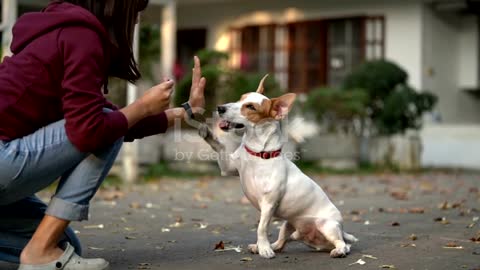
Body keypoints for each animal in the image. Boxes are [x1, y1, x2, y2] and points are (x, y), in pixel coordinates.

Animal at [198, 75, 356, 260]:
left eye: (250, 107)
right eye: (240, 98)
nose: (220, 108)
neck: (258, 153)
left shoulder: (268, 204)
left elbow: (261, 228)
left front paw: (264, 249)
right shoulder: (227, 167)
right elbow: (218, 145)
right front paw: (207, 131)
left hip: (327, 226)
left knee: (344, 244)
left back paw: (339, 250)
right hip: (288, 225)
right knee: (282, 243)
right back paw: (264, 246)